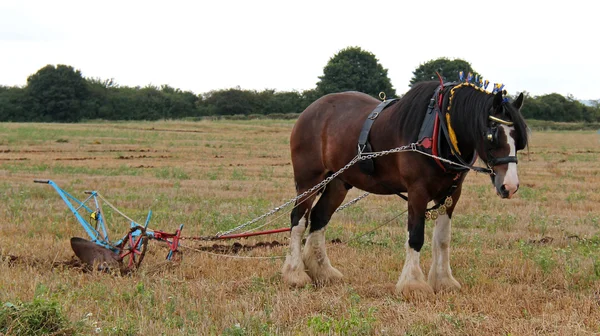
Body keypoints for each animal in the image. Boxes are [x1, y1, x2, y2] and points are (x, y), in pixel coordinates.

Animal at [284, 79, 528, 296]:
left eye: (519, 137)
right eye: (492, 135)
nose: (510, 186)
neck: (439, 131)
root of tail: (311, 109)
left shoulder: (451, 194)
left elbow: (442, 239)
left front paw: (443, 281)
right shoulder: (417, 191)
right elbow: (416, 236)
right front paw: (413, 284)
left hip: (338, 182)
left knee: (319, 218)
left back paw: (322, 272)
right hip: (309, 180)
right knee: (298, 220)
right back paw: (295, 273)